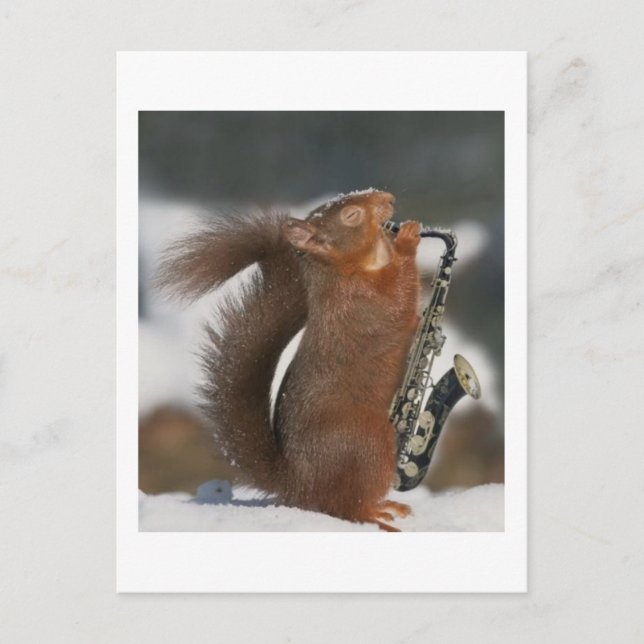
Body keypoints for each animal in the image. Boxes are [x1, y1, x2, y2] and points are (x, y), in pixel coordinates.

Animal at [157, 190, 421, 531]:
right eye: (352, 215)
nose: (388, 198)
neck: (345, 269)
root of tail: (300, 483)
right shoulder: (366, 302)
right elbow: (400, 297)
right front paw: (407, 240)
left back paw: (387, 505)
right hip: (370, 442)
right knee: (346, 508)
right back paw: (377, 518)